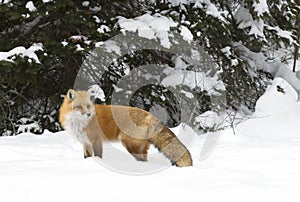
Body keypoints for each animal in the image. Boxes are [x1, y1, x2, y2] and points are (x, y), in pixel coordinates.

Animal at [59, 89, 193, 166]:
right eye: (79, 107)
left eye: (88, 106)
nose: (89, 114)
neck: (78, 123)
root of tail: (148, 114)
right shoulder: (85, 143)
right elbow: (87, 157)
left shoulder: (96, 141)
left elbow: (98, 156)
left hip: (130, 145)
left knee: (143, 161)